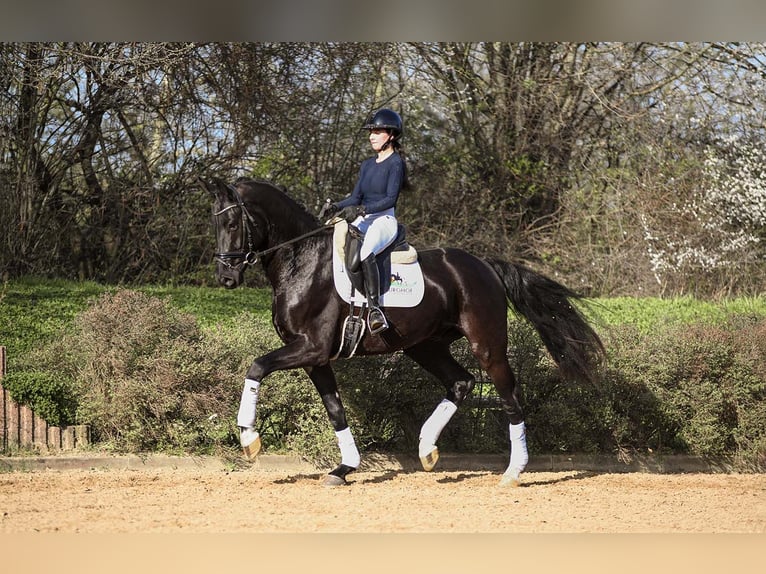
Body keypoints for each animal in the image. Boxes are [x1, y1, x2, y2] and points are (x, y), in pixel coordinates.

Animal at [206, 179, 608, 486]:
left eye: (232, 225)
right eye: (217, 225)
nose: (225, 277)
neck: (300, 261)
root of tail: (484, 265)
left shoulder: (312, 348)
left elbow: (257, 367)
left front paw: (249, 438)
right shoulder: (314, 358)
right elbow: (335, 410)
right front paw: (344, 468)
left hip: (487, 344)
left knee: (509, 394)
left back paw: (513, 471)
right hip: (425, 346)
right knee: (460, 382)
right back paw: (427, 449)